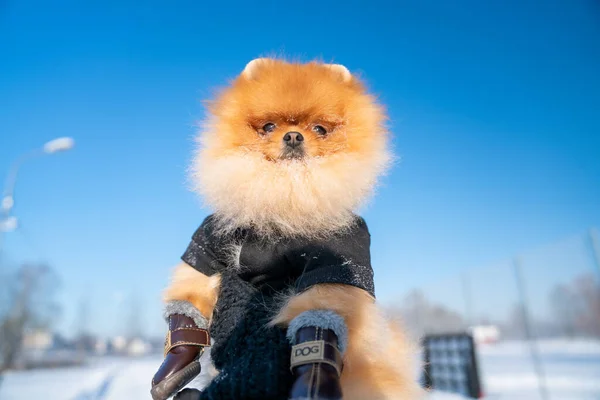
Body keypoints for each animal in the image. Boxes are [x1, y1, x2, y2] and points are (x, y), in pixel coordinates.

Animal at [151, 57, 422, 400]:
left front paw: (315, 381)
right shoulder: (209, 238)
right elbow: (188, 303)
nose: (293, 136)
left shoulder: (342, 252)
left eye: (319, 129)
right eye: (269, 127)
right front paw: (174, 362)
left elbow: (319, 321)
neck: (283, 197)